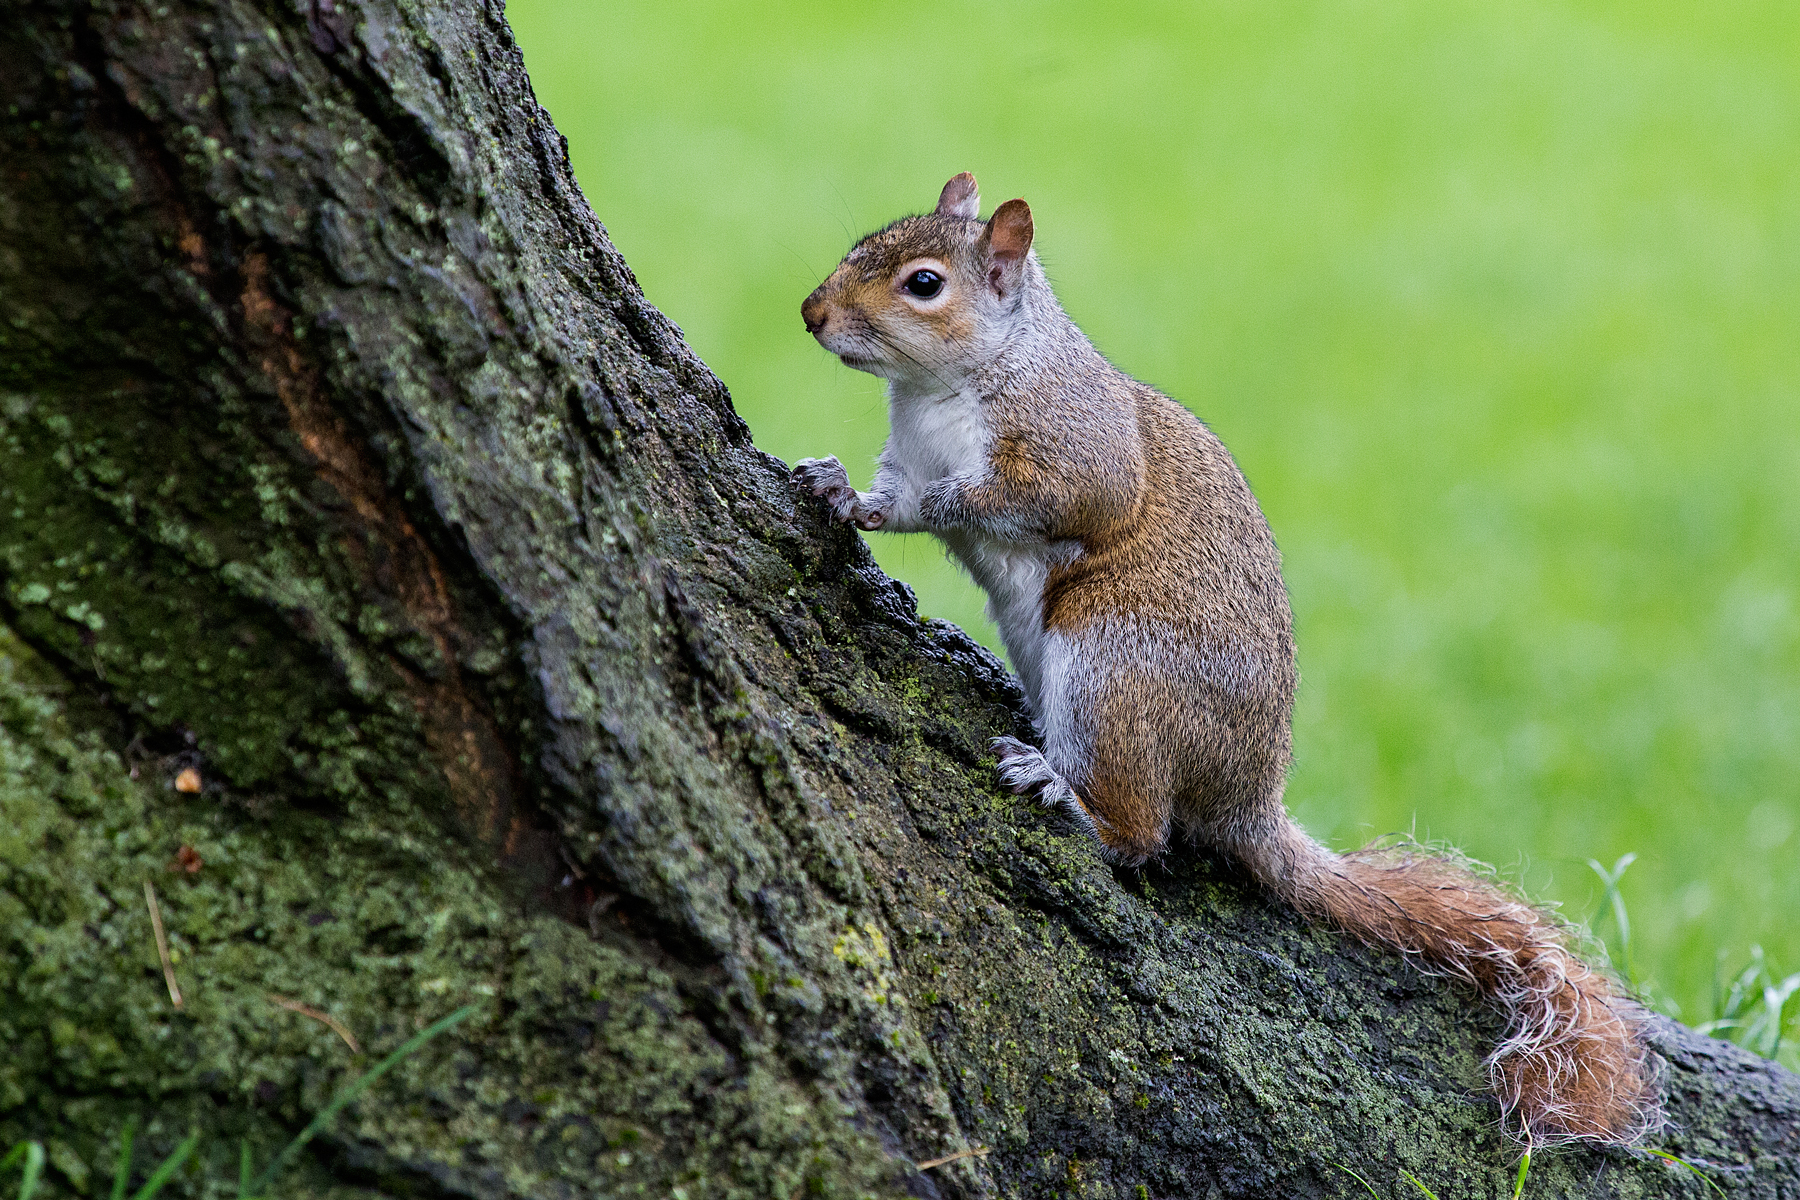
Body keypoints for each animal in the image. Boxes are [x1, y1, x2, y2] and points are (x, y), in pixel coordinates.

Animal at [791, 171, 1660, 1152]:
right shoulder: (907, 457)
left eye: (924, 284)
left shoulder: (1070, 452)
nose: (812, 312)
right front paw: (836, 489)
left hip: (1115, 666)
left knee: (1142, 834)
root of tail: (1247, 798)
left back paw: (1064, 789)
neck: (952, 385)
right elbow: (894, 494)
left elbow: (1011, 500)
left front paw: (919, 504)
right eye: (863, 242)